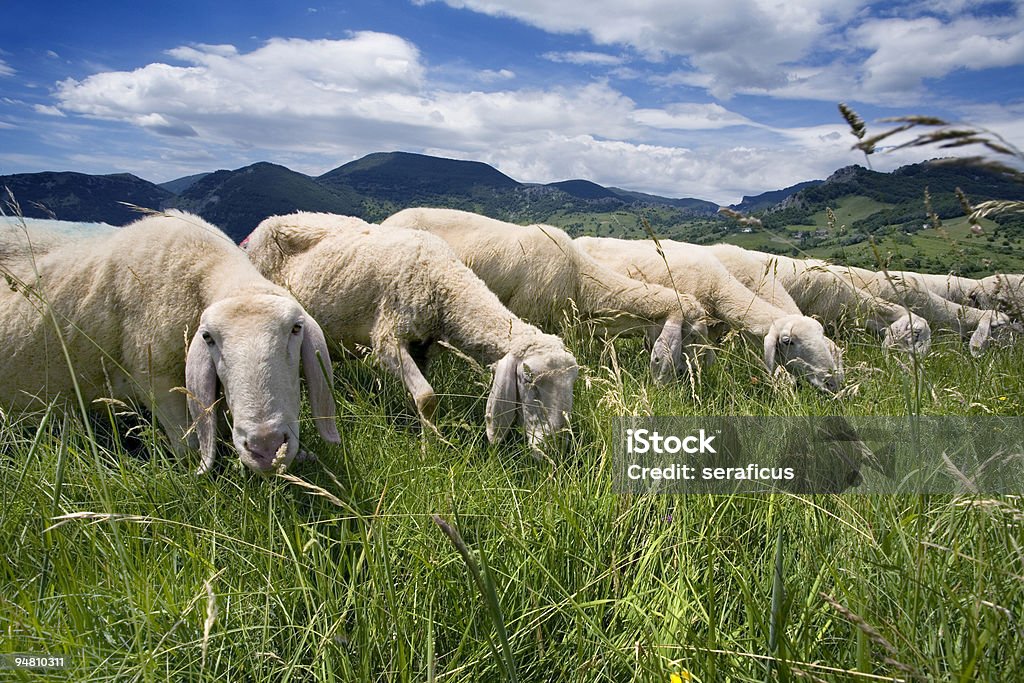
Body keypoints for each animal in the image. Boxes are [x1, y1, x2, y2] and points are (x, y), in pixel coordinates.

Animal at [239, 210, 577, 450]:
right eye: (529, 380)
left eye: (573, 384)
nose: (552, 446)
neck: (442, 282)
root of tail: (266, 223)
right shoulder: (387, 340)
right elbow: (427, 397)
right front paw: (431, 449)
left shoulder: (422, 345)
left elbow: (420, 396)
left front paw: (421, 432)